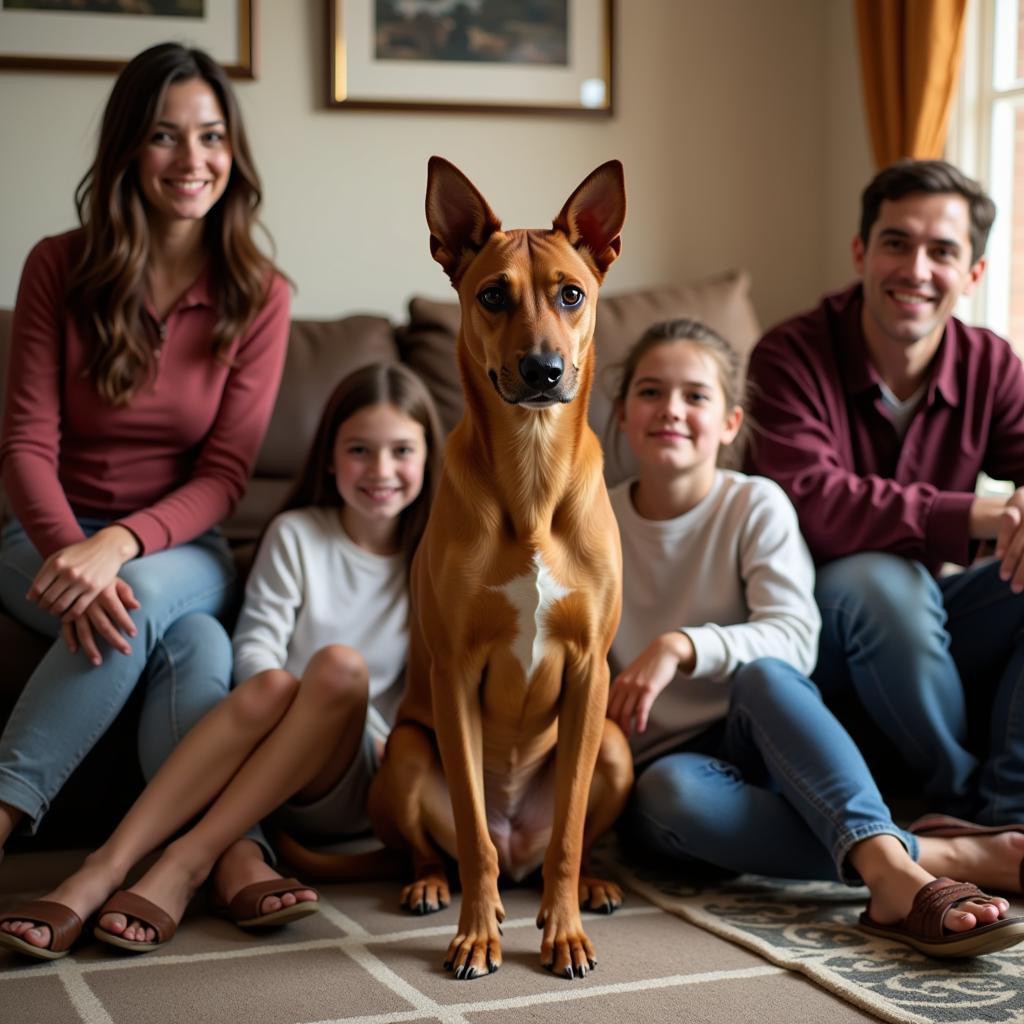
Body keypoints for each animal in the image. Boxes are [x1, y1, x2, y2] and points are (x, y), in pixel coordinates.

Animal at [368, 155, 630, 978]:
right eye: (492, 296)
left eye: (571, 294)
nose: (543, 371)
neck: (532, 471)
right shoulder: (454, 673)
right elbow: (472, 832)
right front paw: (478, 934)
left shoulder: (590, 671)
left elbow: (570, 835)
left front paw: (565, 931)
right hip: (406, 751)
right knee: (450, 846)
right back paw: (428, 885)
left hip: (614, 742)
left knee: (560, 845)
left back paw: (592, 887)